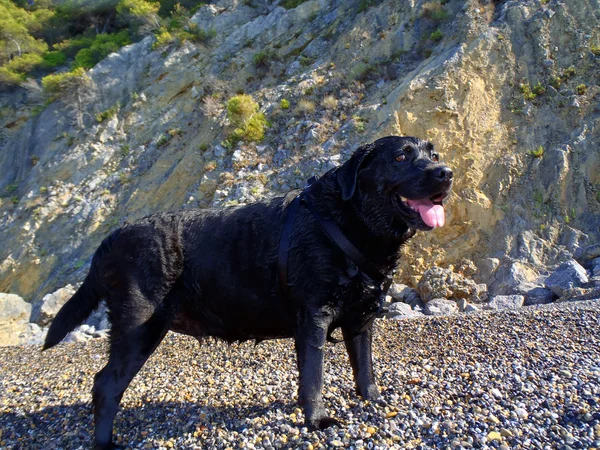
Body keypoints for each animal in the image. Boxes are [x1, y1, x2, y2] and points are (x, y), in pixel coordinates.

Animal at [44, 135, 452, 448]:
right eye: (400, 157)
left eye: (433, 155)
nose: (446, 173)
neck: (347, 222)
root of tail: (112, 237)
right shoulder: (313, 319)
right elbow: (314, 378)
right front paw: (317, 420)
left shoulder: (361, 320)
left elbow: (365, 369)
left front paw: (374, 401)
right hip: (138, 328)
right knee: (106, 385)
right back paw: (105, 442)